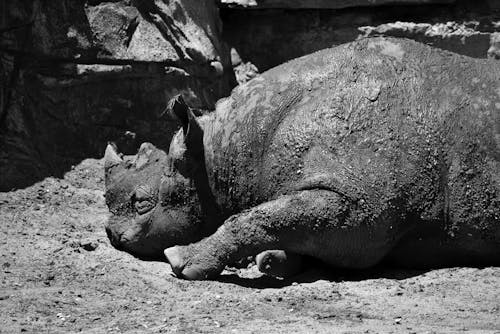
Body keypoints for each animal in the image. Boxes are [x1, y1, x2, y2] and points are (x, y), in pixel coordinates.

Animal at [105, 37, 500, 280]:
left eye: (141, 203)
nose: (110, 233)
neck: (224, 154)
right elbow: (276, 219)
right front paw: (273, 260)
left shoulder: (361, 208)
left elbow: (254, 218)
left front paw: (180, 260)